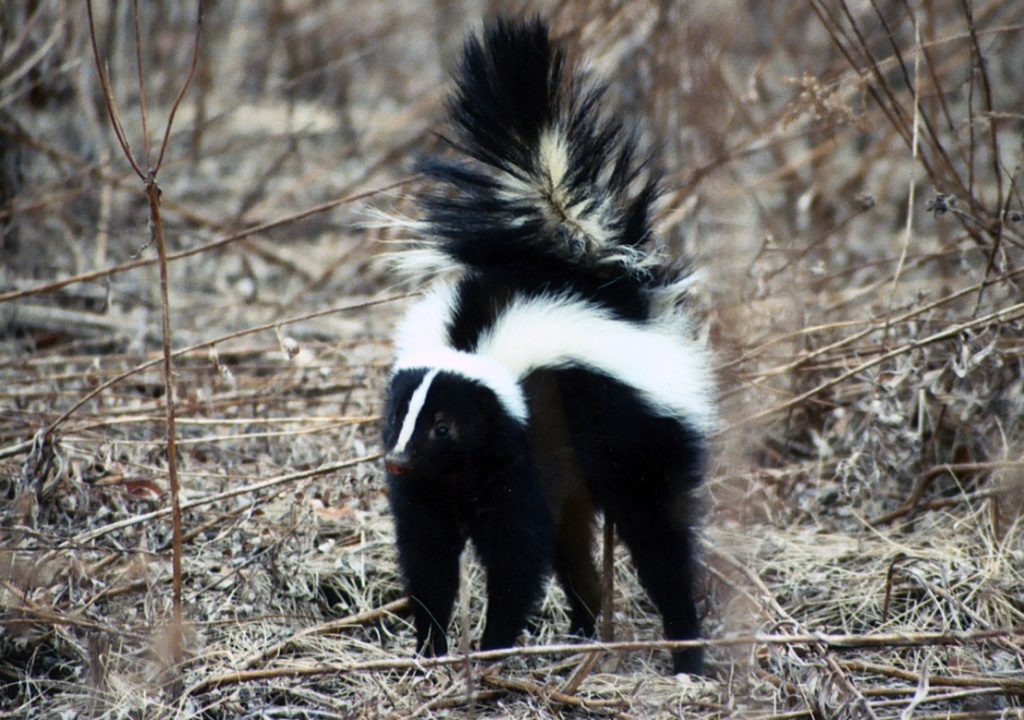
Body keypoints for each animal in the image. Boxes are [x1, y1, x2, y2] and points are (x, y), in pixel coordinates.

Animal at [380, 16, 716, 675]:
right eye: (398, 419)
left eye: (444, 427)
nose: (398, 460)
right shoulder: (436, 488)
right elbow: (429, 557)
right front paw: (429, 650)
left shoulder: (525, 446)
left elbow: (516, 554)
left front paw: (491, 648)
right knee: (576, 550)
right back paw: (584, 633)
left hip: (642, 444)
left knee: (659, 541)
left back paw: (686, 653)